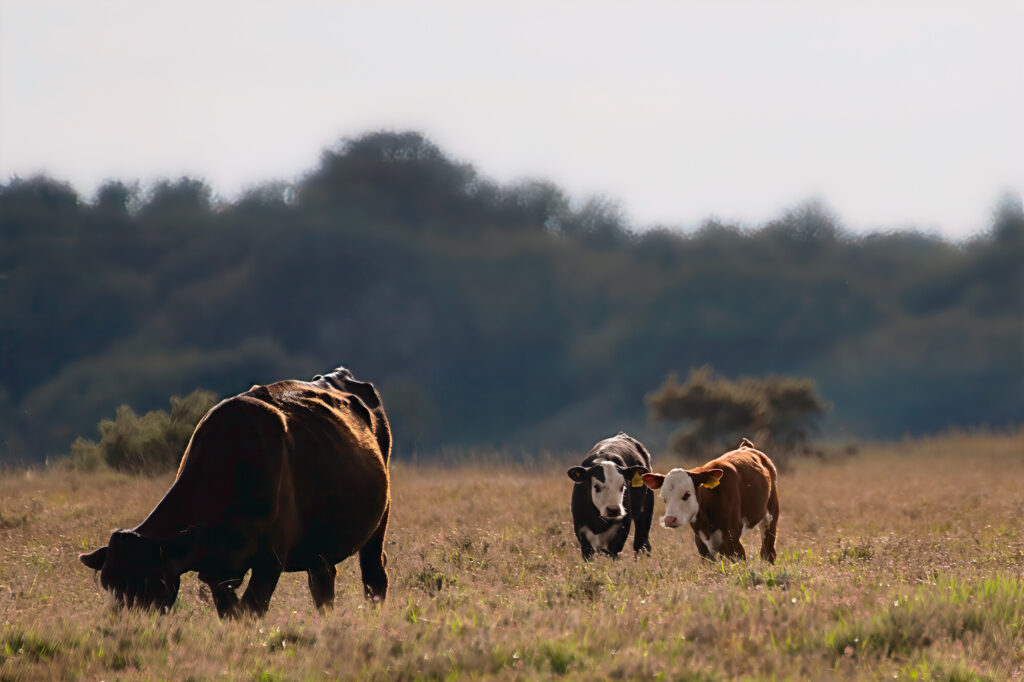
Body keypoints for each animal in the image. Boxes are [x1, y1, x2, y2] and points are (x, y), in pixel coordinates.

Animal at [79, 366, 392, 618]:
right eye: (109, 585)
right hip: (320, 549)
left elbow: (252, 609)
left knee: (374, 576)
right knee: (323, 585)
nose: (127, 623)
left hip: (379, 522)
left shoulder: (269, 561)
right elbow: (230, 612)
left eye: (146, 582)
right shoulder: (217, 573)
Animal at [566, 432, 655, 560]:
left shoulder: (623, 525)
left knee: (641, 542)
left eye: (623, 486)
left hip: (646, 509)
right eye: (596, 486)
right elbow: (588, 553)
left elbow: (613, 552)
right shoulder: (581, 527)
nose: (613, 510)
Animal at [641, 438, 778, 563]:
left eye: (686, 494)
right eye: (664, 498)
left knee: (767, 552)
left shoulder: (732, 538)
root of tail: (746, 447)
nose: (670, 519)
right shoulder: (702, 543)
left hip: (771, 515)